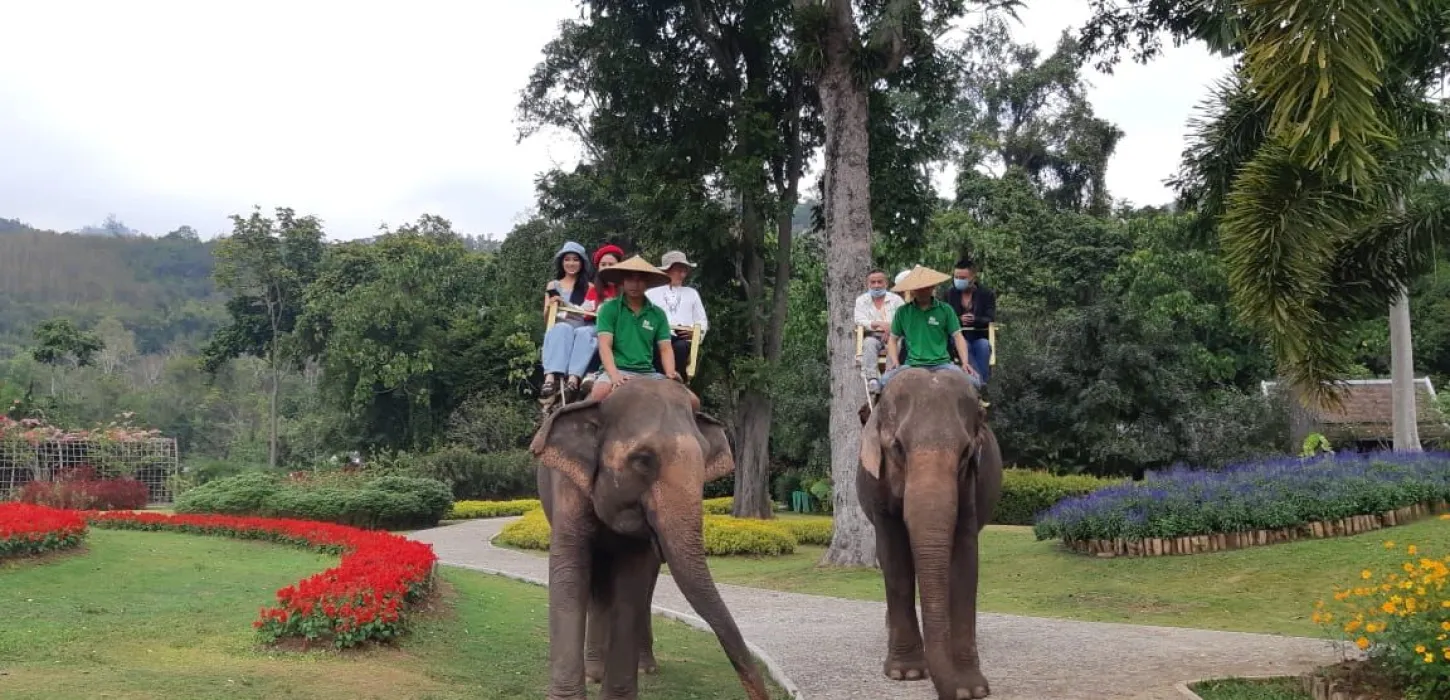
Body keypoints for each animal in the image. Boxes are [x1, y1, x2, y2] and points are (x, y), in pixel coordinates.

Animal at [530, 377, 770, 700]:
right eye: (643, 460)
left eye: (704, 459)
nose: (762, 695)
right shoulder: (567, 487)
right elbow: (569, 573)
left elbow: (632, 582)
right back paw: (595, 673)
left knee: (639, 590)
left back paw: (644, 668)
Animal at [857, 367, 1004, 700]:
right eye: (898, 448)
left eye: (966, 452)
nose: (952, 693)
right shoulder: (878, 487)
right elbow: (895, 560)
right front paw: (907, 673)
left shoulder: (969, 487)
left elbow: (964, 561)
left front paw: (971, 686)